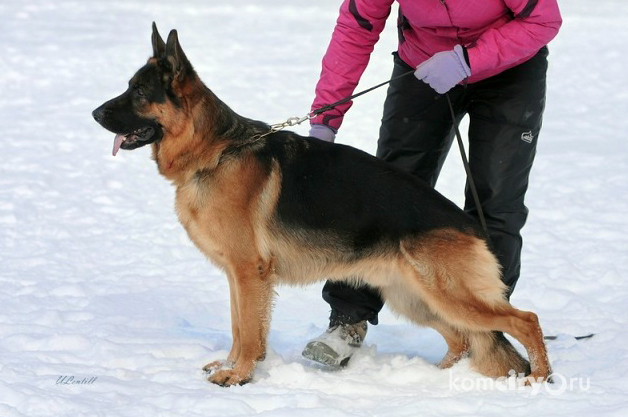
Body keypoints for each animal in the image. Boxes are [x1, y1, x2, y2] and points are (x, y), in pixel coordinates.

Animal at [92, 24, 548, 386]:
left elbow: (249, 331)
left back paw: (539, 379)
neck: (216, 151)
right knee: (462, 337)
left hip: (448, 295)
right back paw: (437, 378)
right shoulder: (237, 276)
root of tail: (471, 226)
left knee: (525, 320)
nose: (94, 113)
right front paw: (231, 366)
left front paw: (239, 375)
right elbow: (239, 327)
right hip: (414, 297)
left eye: (138, 92)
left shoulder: (249, 272)